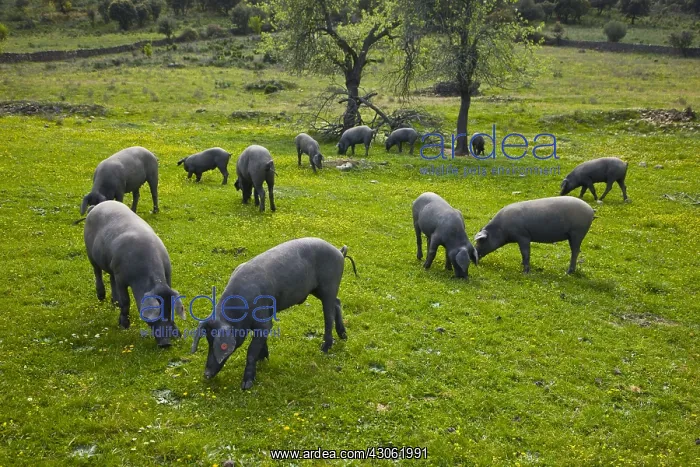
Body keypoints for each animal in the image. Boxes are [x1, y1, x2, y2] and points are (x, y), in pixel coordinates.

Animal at [83, 201, 185, 347]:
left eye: (169, 312)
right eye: (156, 314)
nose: (166, 344)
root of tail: (97, 206)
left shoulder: (168, 276)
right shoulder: (121, 278)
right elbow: (126, 301)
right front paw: (124, 326)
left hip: (112, 265)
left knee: (111, 278)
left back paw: (115, 303)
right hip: (90, 253)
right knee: (98, 272)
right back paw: (101, 297)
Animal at [190, 238, 357, 389]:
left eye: (222, 345)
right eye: (208, 340)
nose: (206, 374)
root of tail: (339, 251)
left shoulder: (264, 322)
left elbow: (251, 351)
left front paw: (246, 385)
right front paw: (264, 358)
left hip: (329, 285)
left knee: (328, 315)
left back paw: (324, 349)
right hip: (319, 290)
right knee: (337, 303)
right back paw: (344, 336)